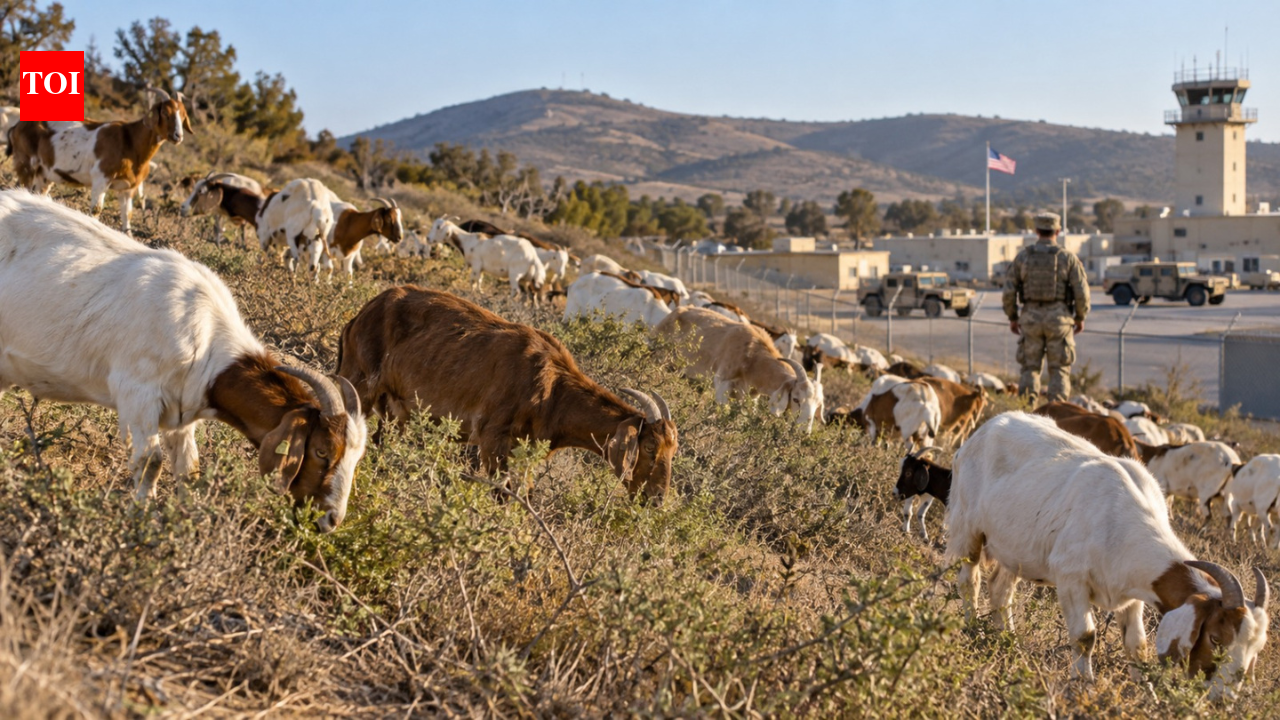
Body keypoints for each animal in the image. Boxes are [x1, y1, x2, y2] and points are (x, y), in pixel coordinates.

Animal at [0, 190, 366, 531]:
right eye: (321, 451)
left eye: (354, 458)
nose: (331, 520)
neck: (206, 341)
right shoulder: (137, 395)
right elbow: (151, 464)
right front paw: (138, 525)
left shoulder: (182, 412)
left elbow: (189, 470)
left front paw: (185, 523)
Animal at [9, 87, 192, 234]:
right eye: (165, 113)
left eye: (183, 116)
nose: (178, 136)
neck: (131, 141)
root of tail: (18, 126)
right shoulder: (101, 178)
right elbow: (96, 210)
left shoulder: (127, 189)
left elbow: (127, 216)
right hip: (25, 162)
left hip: (44, 174)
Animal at [336, 285, 678, 499]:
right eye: (649, 447)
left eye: (672, 451)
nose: (656, 499)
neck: (554, 391)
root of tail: (362, 314)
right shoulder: (492, 440)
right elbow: (501, 493)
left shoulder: (525, 454)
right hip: (359, 383)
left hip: (395, 411)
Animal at [657, 307, 823, 432]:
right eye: (796, 399)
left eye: (817, 404)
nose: (803, 431)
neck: (753, 356)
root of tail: (675, 312)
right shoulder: (722, 383)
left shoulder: (750, 396)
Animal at [948, 412, 1268, 697]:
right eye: (1215, 638)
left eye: (1255, 648)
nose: (1223, 696)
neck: (1121, 520)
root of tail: (985, 428)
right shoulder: (1071, 579)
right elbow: (1085, 637)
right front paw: (1084, 686)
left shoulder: (1133, 592)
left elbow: (1137, 645)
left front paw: (1147, 693)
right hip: (966, 525)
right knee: (970, 580)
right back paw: (974, 631)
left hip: (1015, 549)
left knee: (1001, 589)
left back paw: (1009, 641)